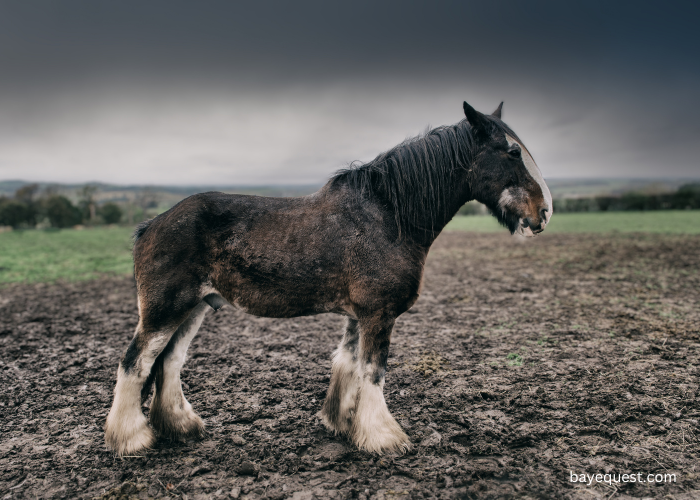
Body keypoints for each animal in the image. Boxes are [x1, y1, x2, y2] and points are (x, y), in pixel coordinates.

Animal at [104, 101, 552, 458]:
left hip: (193, 308)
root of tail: (150, 225)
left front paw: (342, 424)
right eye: (513, 151)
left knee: (168, 363)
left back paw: (182, 427)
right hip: (165, 309)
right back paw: (131, 439)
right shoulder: (378, 314)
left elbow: (347, 363)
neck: (388, 215)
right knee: (135, 363)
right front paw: (383, 437)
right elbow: (372, 372)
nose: (544, 212)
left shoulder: (359, 315)